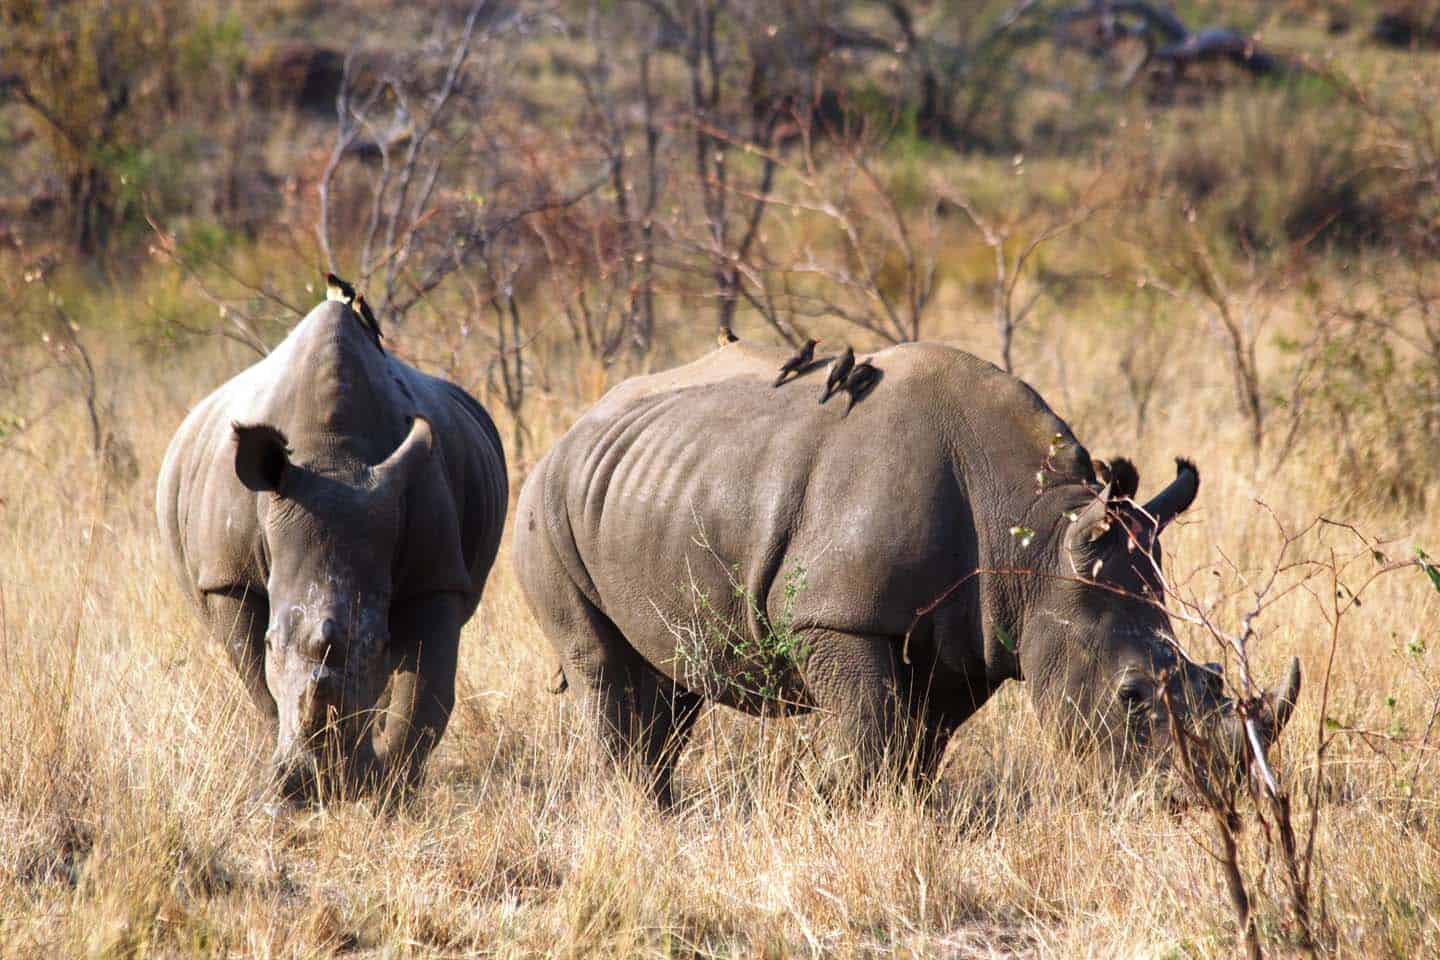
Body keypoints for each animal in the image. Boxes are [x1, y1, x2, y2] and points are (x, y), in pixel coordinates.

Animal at [156, 297, 506, 794]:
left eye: (380, 643)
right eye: (270, 642)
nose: (318, 787)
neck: (333, 457)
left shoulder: (435, 573)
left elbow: (425, 695)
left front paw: (390, 790)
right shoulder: (228, 575)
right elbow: (261, 684)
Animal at [512, 341, 1301, 805]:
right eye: (1131, 696)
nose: (1205, 803)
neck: (1038, 539)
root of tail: (575, 426)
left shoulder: (977, 634)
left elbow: (921, 739)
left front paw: (910, 812)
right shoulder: (833, 616)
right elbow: (871, 728)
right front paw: (863, 815)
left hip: (645, 484)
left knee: (672, 680)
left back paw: (664, 807)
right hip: (543, 501)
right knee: (602, 665)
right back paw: (643, 811)